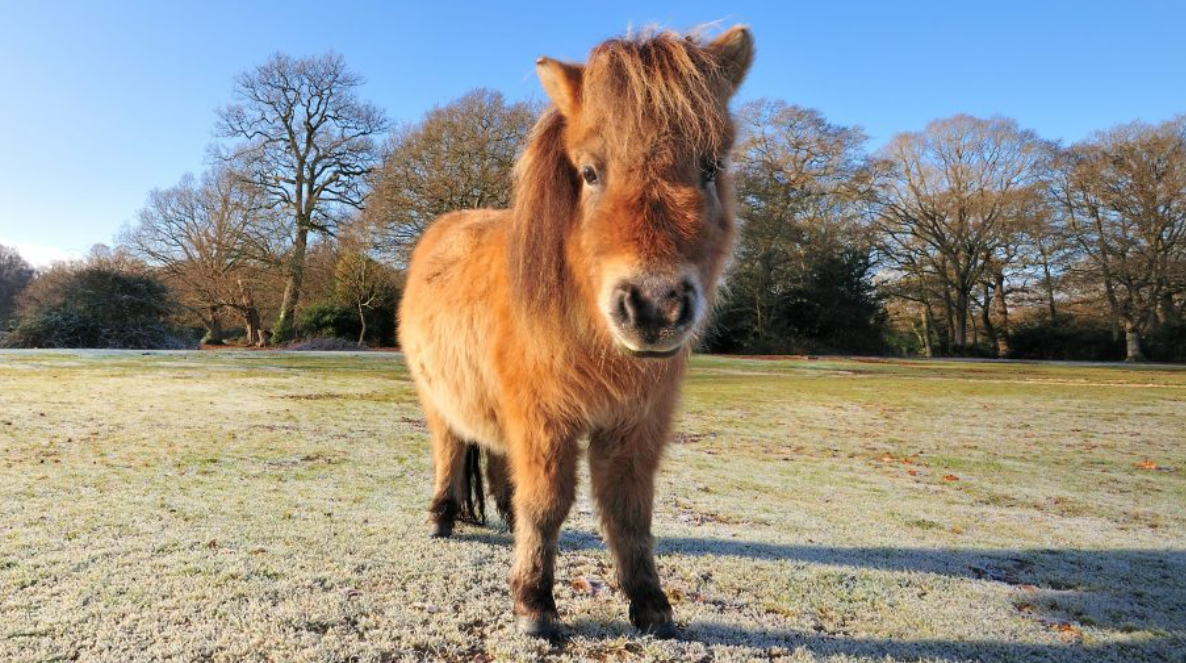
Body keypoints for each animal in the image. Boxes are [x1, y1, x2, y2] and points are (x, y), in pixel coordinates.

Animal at [396, 25, 749, 640]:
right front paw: (534, 604)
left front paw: (650, 604)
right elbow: (548, 504)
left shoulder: (635, 425)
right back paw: (441, 518)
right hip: (439, 401)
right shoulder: (545, 421)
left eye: (710, 167)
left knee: (498, 461)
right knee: (449, 450)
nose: (653, 307)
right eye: (589, 172)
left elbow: (629, 511)